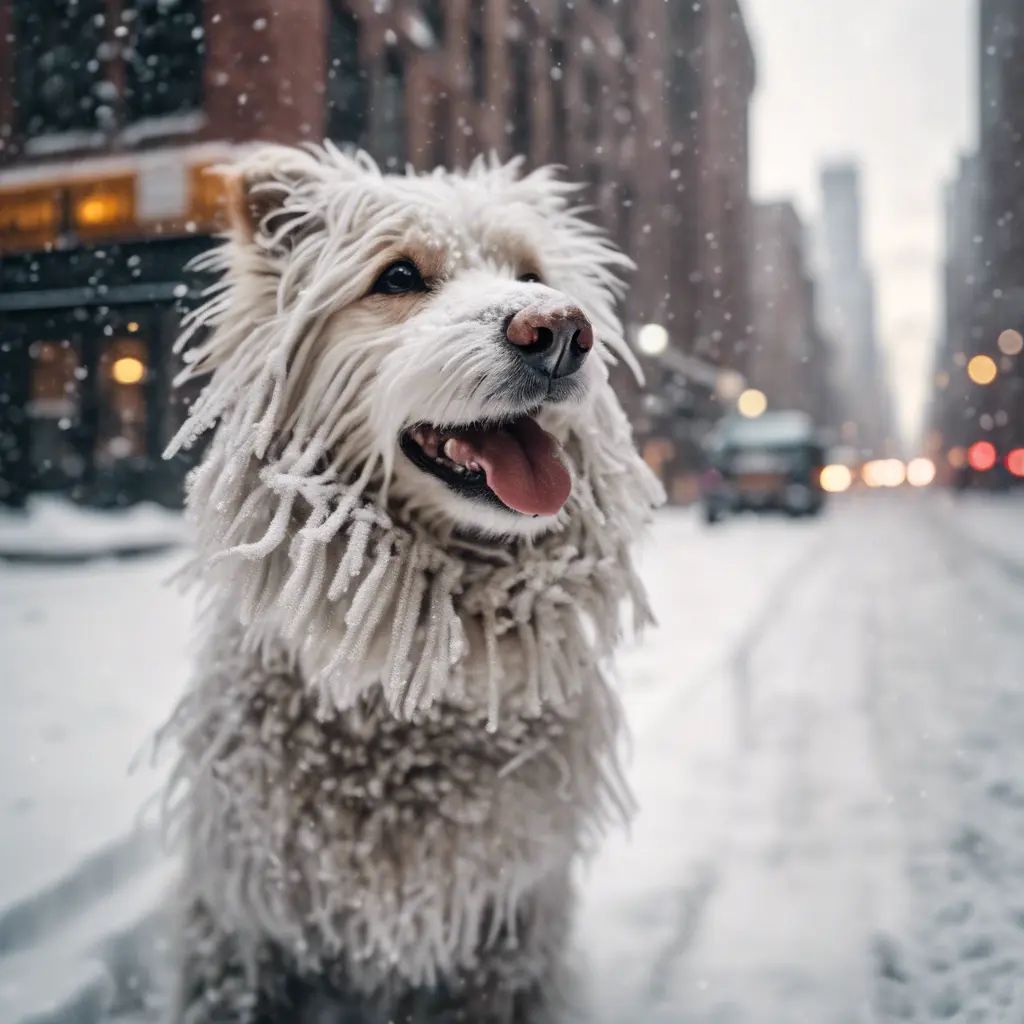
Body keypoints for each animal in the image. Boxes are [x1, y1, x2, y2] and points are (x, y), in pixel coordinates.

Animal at [155, 146, 659, 1024]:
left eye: (531, 274)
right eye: (397, 276)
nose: (559, 329)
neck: (408, 682)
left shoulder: (508, 928)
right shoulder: (248, 917)